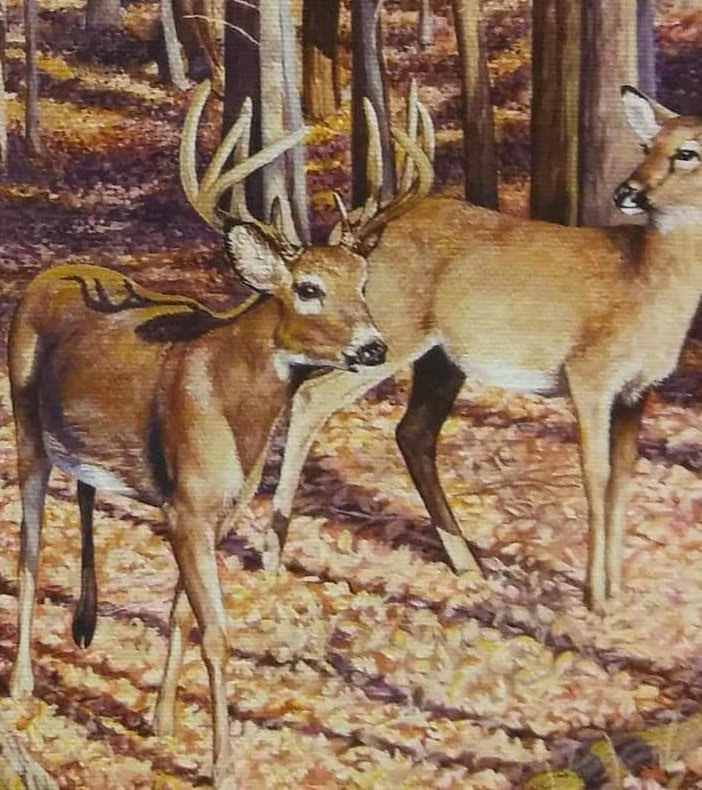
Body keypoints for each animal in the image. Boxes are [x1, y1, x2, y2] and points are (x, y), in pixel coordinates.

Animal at [7, 79, 433, 783]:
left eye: (363, 282)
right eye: (308, 287)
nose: (374, 347)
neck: (232, 408)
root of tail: (48, 274)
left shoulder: (218, 508)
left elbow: (181, 611)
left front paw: (161, 720)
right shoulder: (186, 503)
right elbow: (217, 631)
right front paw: (222, 763)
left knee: (85, 499)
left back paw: (82, 629)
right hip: (24, 422)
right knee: (31, 547)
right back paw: (21, 683)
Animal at [256, 86, 702, 616]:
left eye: (687, 152)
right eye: (647, 146)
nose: (627, 193)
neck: (645, 281)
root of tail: (360, 243)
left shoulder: (639, 387)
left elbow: (623, 478)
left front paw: (616, 590)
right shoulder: (590, 372)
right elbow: (596, 474)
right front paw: (595, 597)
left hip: (440, 358)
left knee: (412, 431)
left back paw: (466, 563)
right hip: (392, 332)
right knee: (313, 397)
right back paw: (271, 554)